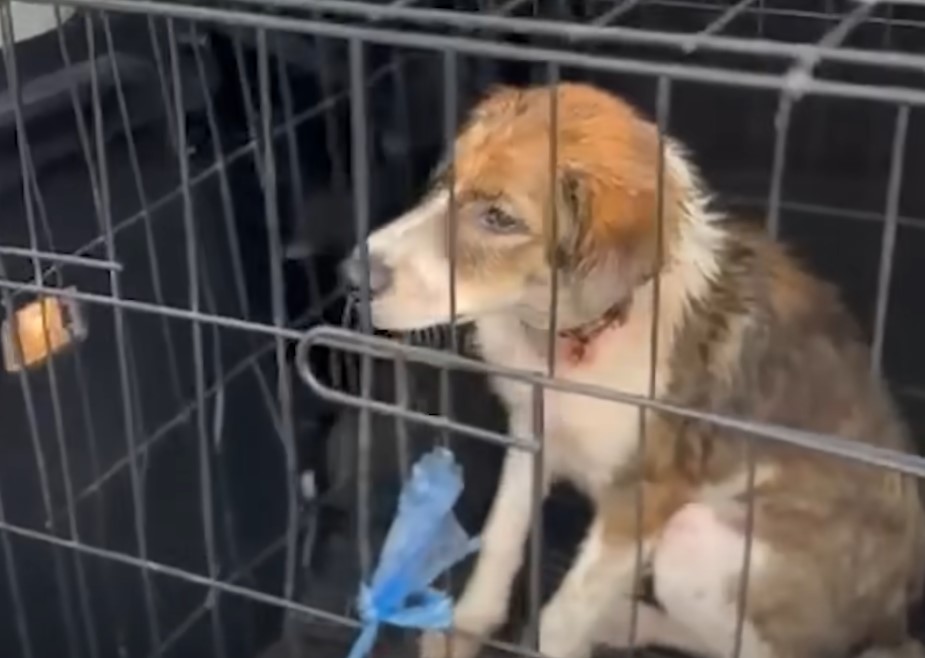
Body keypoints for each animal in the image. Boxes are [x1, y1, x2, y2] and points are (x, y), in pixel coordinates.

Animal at [340, 80, 924, 656]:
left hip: (694, 542)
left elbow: (561, 618)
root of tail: (892, 619)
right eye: (443, 184)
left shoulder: (643, 496)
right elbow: (500, 541)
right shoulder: (533, 432)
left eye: (500, 219)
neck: (568, 341)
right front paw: (461, 627)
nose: (351, 276)